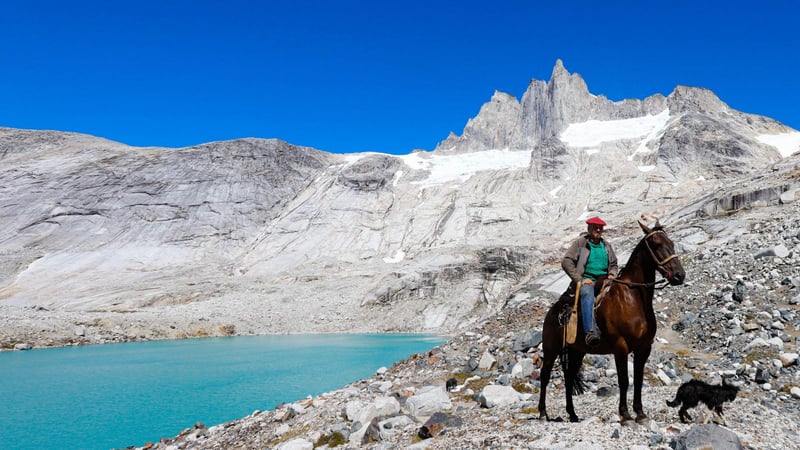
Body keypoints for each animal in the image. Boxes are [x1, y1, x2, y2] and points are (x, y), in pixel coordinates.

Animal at [536, 220, 684, 424]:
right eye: (656, 244)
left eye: (671, 243)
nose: (679, 275)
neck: (633, 299)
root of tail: (553, 311)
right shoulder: (620, 346)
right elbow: (624, 380)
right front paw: (626, 415)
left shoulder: (644, 348)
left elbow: (638, 380)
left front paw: (640, 413)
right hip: (551, 349)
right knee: (544, 376)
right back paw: (543, 413)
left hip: (577, 351)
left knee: (569, 376)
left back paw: (573, 414)